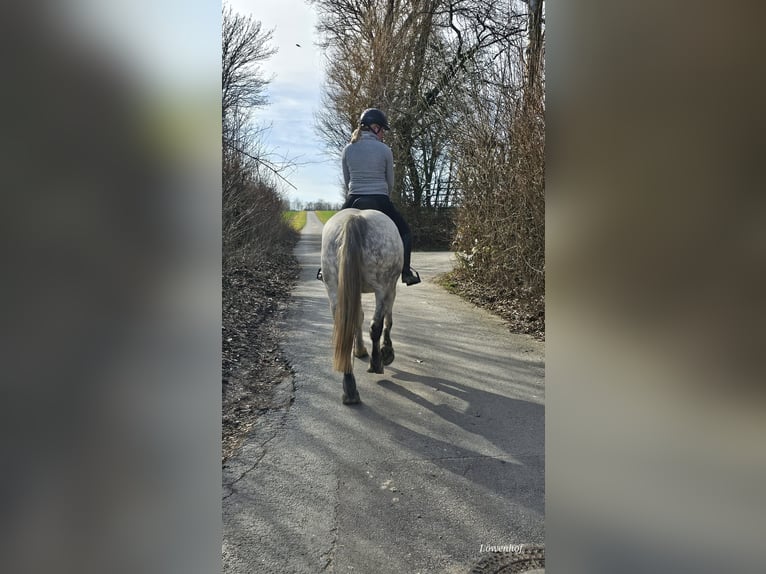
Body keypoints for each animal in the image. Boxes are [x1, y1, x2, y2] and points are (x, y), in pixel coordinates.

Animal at [320, 208, 404, 404]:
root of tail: (355, 218)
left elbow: (357, 318)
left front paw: (360, 350)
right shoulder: (391, 287)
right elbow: (388, 320)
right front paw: (387, 352)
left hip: (333, 287)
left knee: (345, 326)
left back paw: (350, 388)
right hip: (382, 286)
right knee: (376, 325)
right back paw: (377, 363)